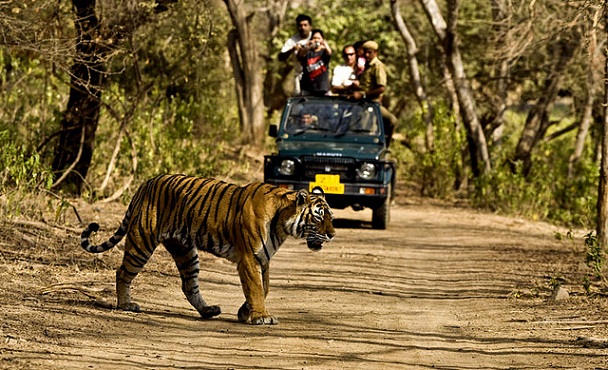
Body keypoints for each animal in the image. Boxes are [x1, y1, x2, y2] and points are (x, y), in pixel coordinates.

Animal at [79, 173, 334, 324]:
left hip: (185, 251)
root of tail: (146, 183)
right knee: (122, 272)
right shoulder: (250, 257)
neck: (282, 223)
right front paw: (261, 316)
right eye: (319, 216)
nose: (332, 234)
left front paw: (245, 313)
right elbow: (255, 288)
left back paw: (208, 310)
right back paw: (126, 305)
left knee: (188, 285)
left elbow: (265, 288)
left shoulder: (264, 259)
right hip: (142, 241)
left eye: (331, 216)